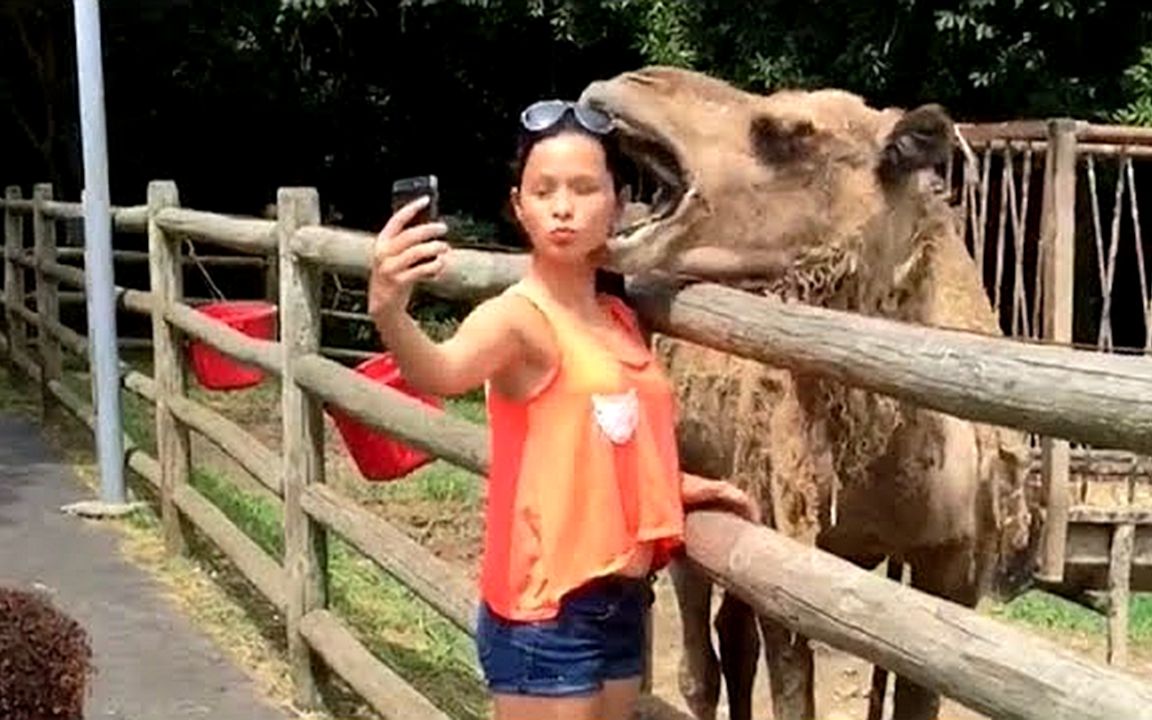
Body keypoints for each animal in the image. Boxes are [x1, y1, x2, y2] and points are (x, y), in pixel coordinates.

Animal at [580, 65, 1041, 718]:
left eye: (788, 132)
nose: (629, 81)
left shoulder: (950, 568)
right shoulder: (788, 550)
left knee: (729, 636)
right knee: (699, 656)